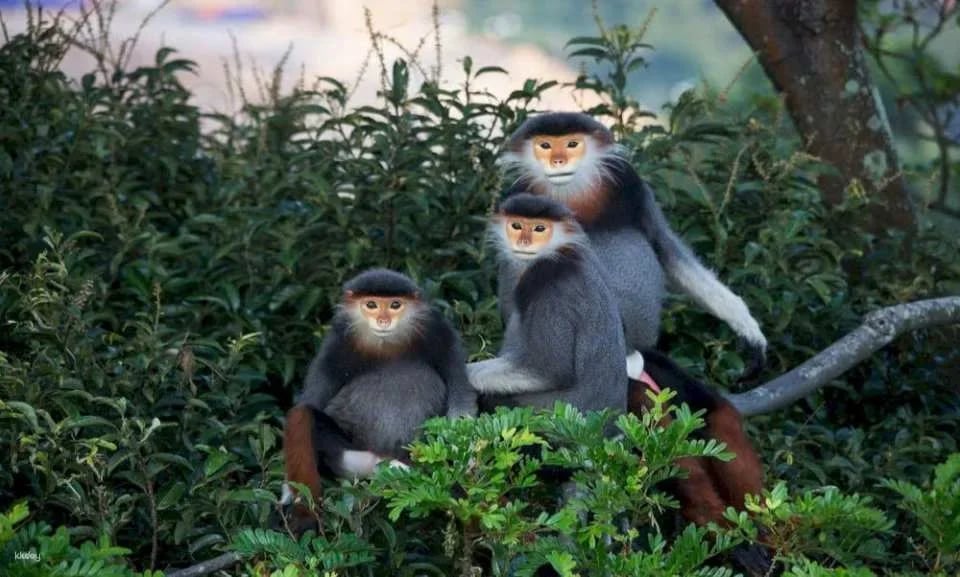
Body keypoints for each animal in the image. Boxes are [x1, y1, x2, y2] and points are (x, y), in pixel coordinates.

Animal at [282, 268, 476, 534]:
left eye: (395, 305)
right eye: (371, 305)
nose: (383, 321)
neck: (387, 345)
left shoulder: (439, 331)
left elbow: (461, 394)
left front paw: (465, 457)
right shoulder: (337, 343)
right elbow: (310, 401)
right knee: (304, 415)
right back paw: (306, 515)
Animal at [466, 193, 629, 415]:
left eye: (540, 228)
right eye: (516, 225)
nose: (524, 242)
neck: (559, 251)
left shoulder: (548, 281)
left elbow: (547, 372)